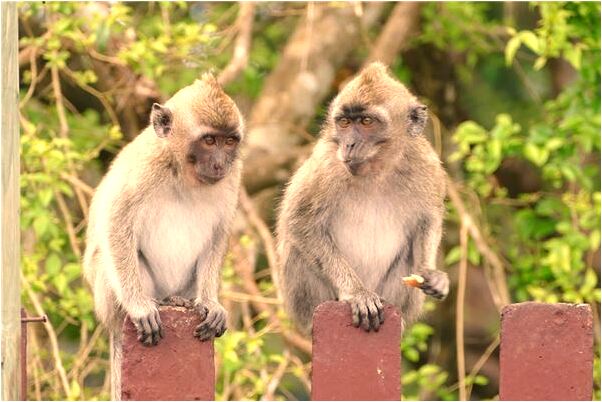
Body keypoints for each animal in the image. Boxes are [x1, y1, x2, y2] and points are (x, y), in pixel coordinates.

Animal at [82, 74, 244, 398]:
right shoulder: (144, 167)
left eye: (229, 141)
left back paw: (181, 301)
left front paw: (211, 302)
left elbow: (218, 235)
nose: (220, 163)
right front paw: (137, 305)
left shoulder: (233, 177)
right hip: (107, 297)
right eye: (209, 140)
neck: (182, 171)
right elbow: (115, 220)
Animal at [274, 61, 448, 334]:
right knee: (297, 250)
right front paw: (356, 293)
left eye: (367, 122)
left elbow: (429, 220)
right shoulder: (326, 164)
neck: (377, 170)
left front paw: (432, 274)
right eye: (345, 123)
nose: (350, 144)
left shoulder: (426, 165)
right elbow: (299, 223)